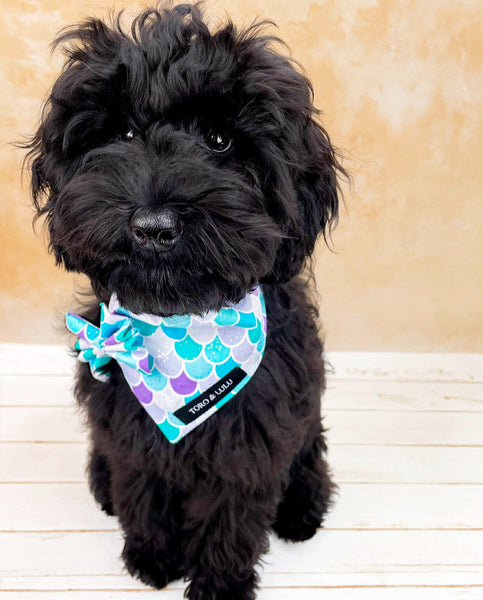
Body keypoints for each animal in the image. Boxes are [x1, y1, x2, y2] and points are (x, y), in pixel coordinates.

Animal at [24, 2, 346, 596]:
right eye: (123, 132)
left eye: (219, 140)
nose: (153, 227)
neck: (180, 324)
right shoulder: (131, 430)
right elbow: (143, 490)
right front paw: (152, 557)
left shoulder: (249, 443)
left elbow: (229, 519)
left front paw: (220, 584)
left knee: (310, 458)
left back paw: (302, 510)